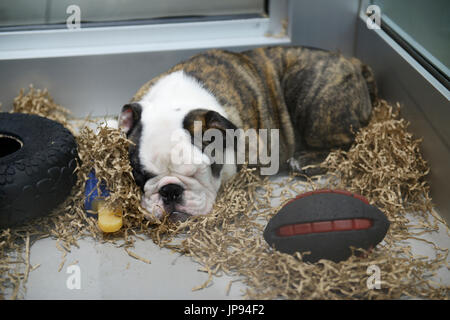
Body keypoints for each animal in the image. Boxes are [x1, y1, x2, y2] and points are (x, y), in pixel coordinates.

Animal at [118, 45, 376, 220]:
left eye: (198, 172)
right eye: (140, 175)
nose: (170, 191)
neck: (174, 102)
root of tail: (352, 62)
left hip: (311, 100)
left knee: (350, 142)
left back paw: (305, 161)